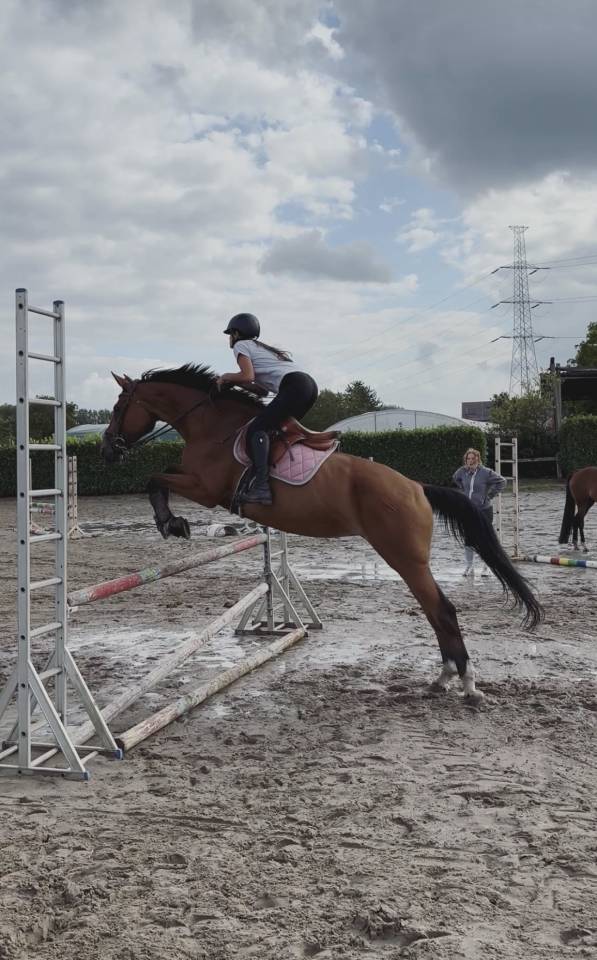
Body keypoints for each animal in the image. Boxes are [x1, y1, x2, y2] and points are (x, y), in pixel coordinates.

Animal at [100, 364, 542, 703]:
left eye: (120, 406)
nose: (107, 449)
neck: (212, 427)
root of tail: (417, 487)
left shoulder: (207, 490)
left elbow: (153, 477)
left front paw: (171, 523)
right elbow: (159, 475)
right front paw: (170, 521)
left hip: (404, 557)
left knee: (442, 610)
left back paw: (464, 682)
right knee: (437, 612)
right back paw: (445, 678)